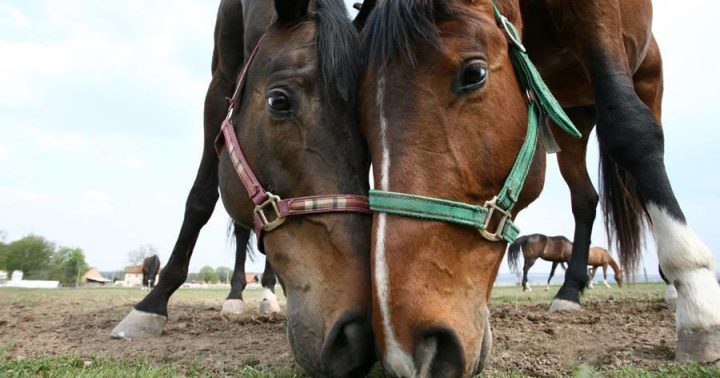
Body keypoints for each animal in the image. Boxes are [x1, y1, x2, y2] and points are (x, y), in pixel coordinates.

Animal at [111, 1, 376, 376]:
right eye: (279, 101)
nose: (356, 336)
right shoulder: (219, 85)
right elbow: (201, 200)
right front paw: (152, 304)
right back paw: (235, 298)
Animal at [358, 0, 720, 374]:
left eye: (474, 74)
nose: (410, 351)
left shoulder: (597, 15)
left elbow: (630, 128)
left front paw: (695, 292)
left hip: (648, 77)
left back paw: (673, 288)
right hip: (570, 121)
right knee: (585, 199)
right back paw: (570, 291)